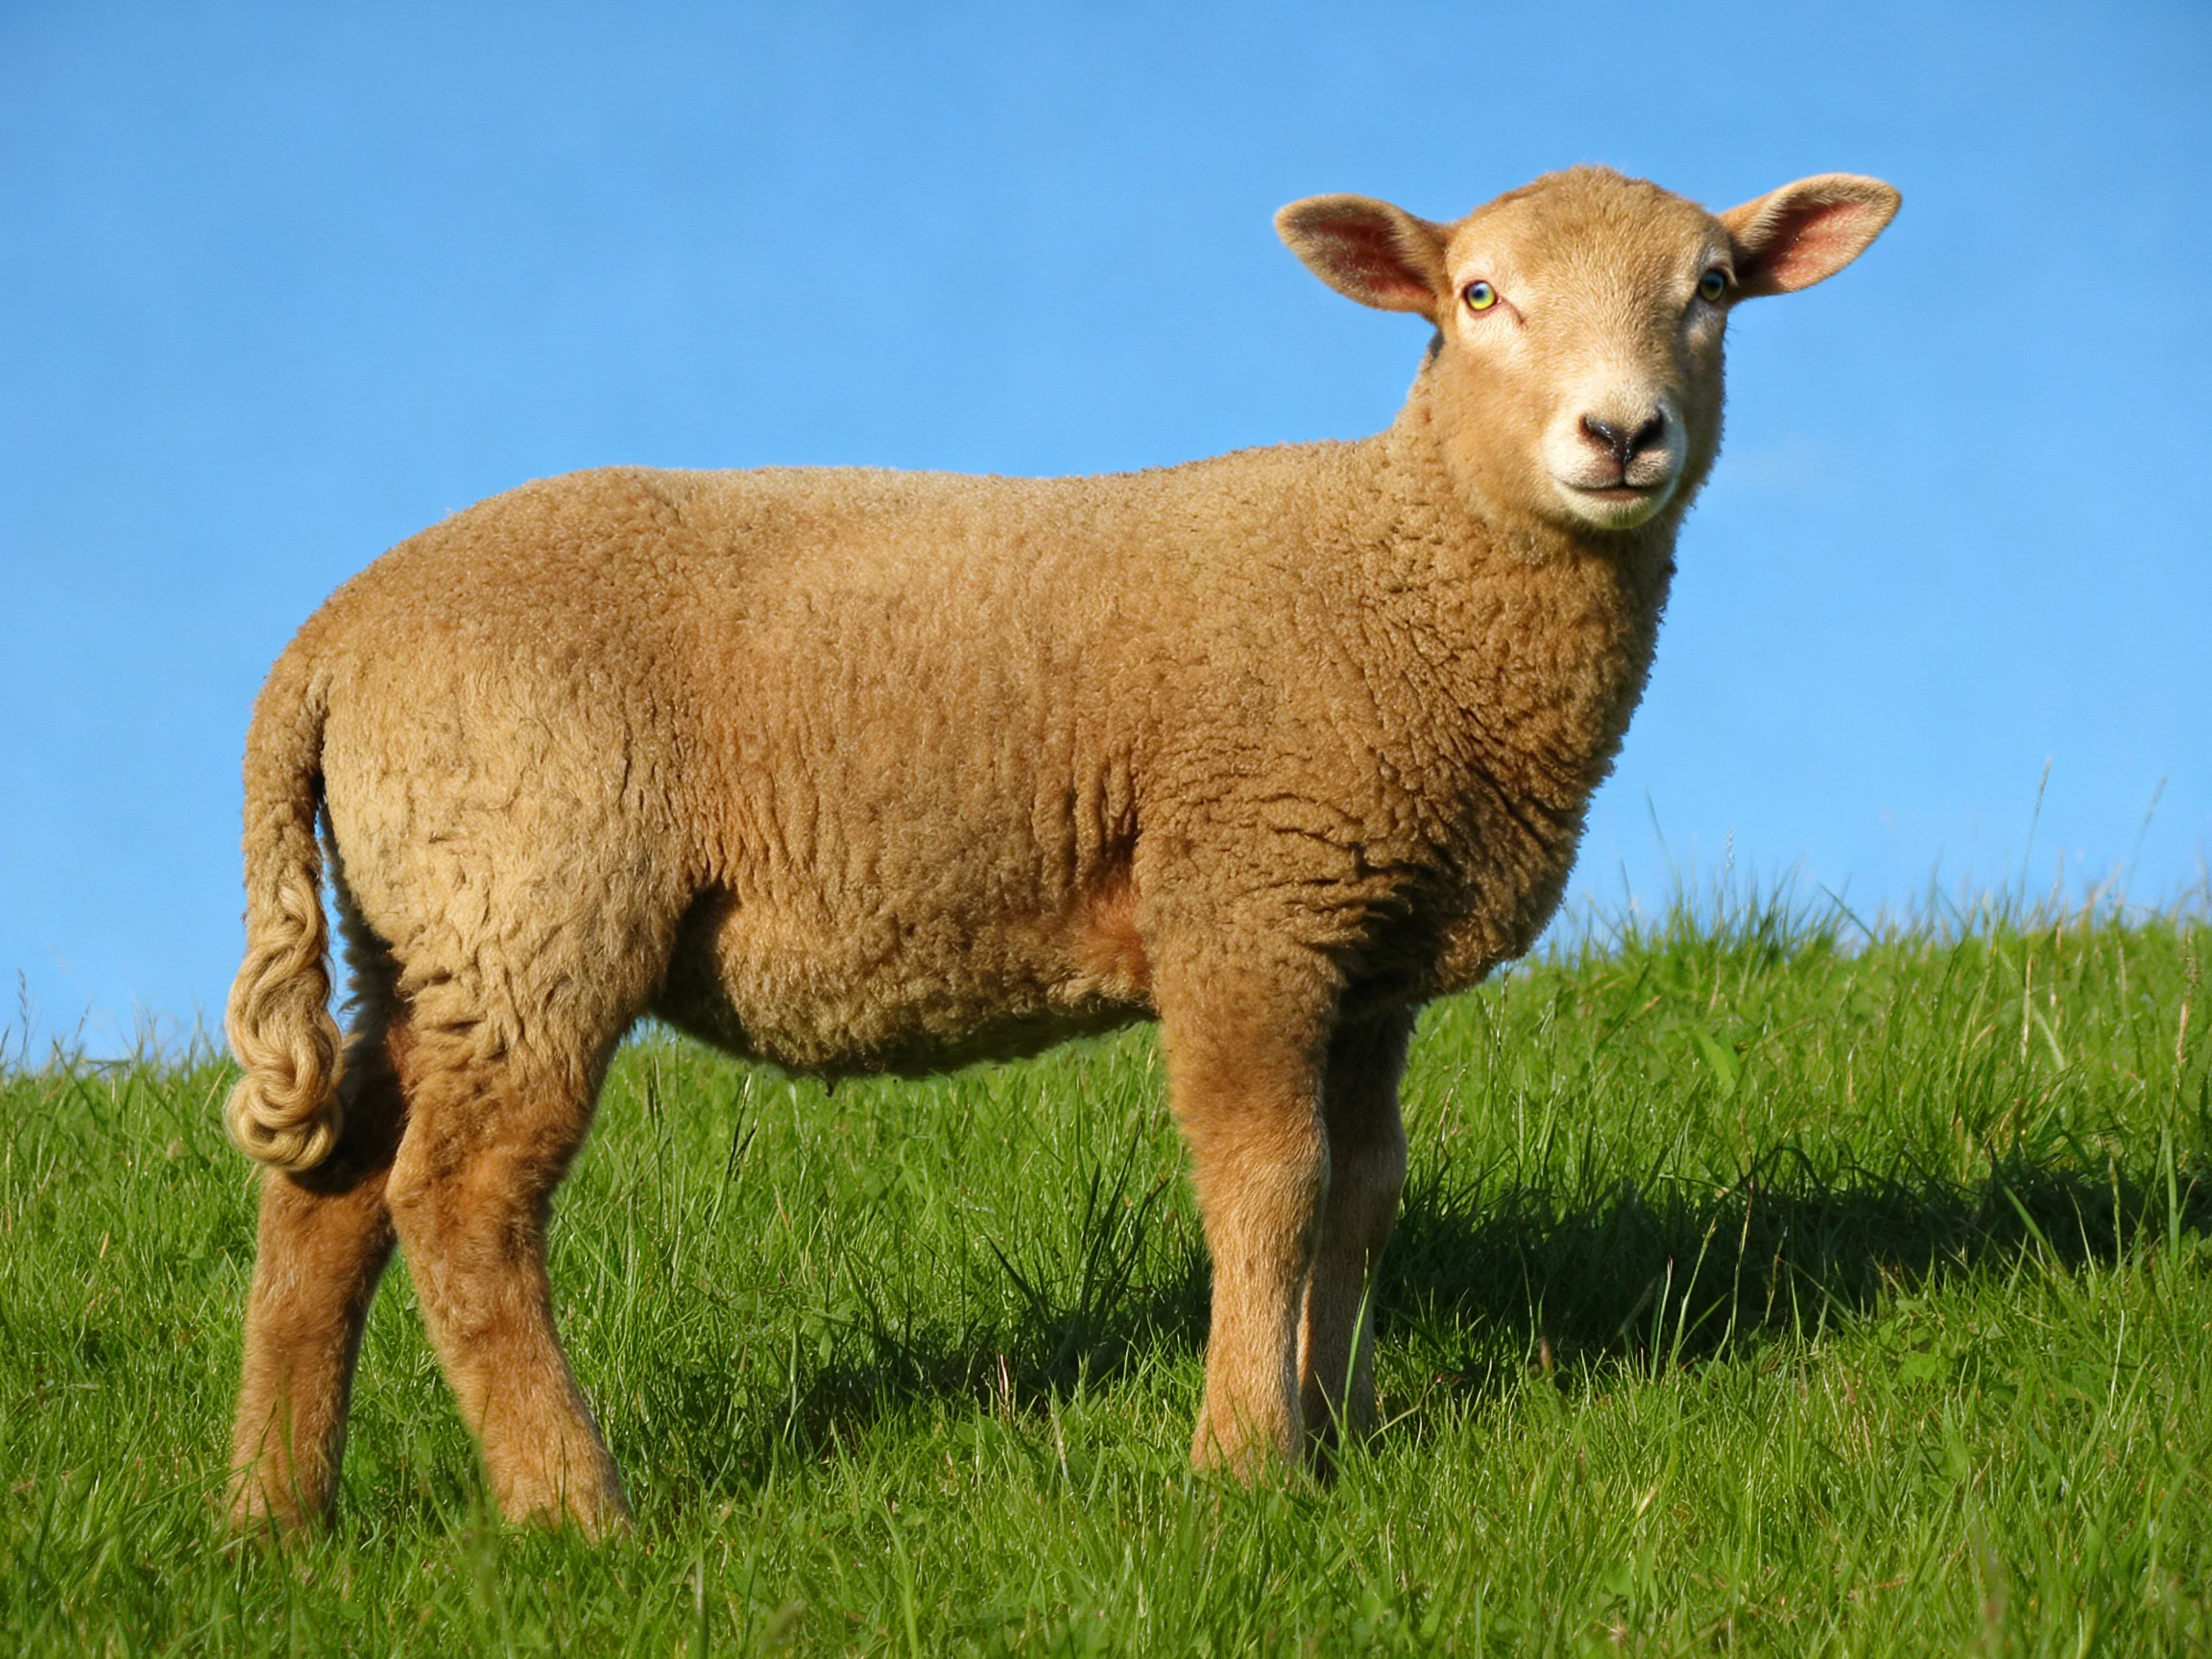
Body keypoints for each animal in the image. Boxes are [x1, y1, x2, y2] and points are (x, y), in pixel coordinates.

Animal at [221, 164, 1898, 1537]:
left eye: (1713, 289)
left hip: (423, 924)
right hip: (535, 893)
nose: (1622, 435)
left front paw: (1345, 1430)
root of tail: (329, 642)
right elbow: (1272, 1182)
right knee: (460, 1202)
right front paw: (1246, 1460)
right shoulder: (1246, 897)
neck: (1402, 567)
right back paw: (575, 1511)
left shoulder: (1368, 947)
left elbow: (1365, 1189)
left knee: (335, 1193)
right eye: (1479, 295)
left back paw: (278, 1518)